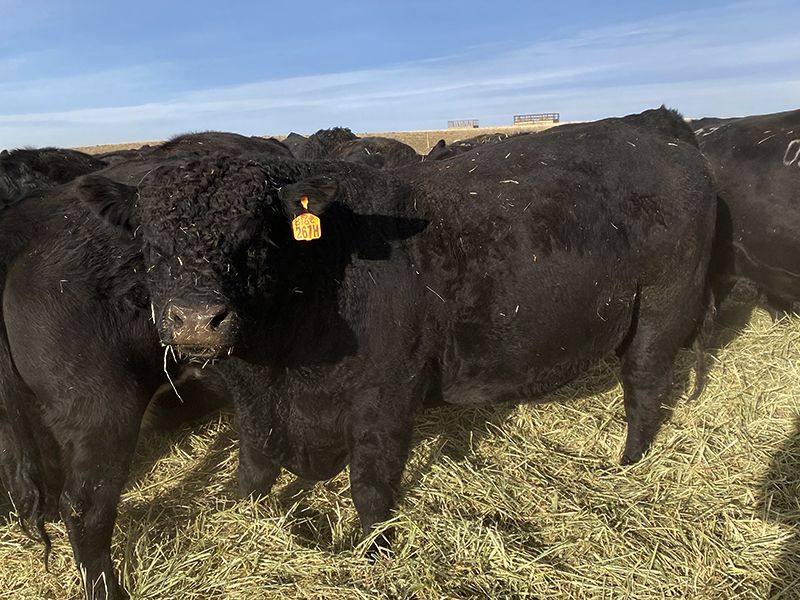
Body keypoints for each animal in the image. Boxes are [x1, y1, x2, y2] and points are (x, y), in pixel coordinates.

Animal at [69, 108, 715, 559]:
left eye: (255, 238)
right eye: (148, 242)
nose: (196, 321)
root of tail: (662, 133)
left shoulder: (387, 389)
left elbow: (371, 484)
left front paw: (373, 549)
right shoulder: (252, 396)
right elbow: (254, 464)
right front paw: (237, 514)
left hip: (664, 304)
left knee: (645, 383)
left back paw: (627, 463)